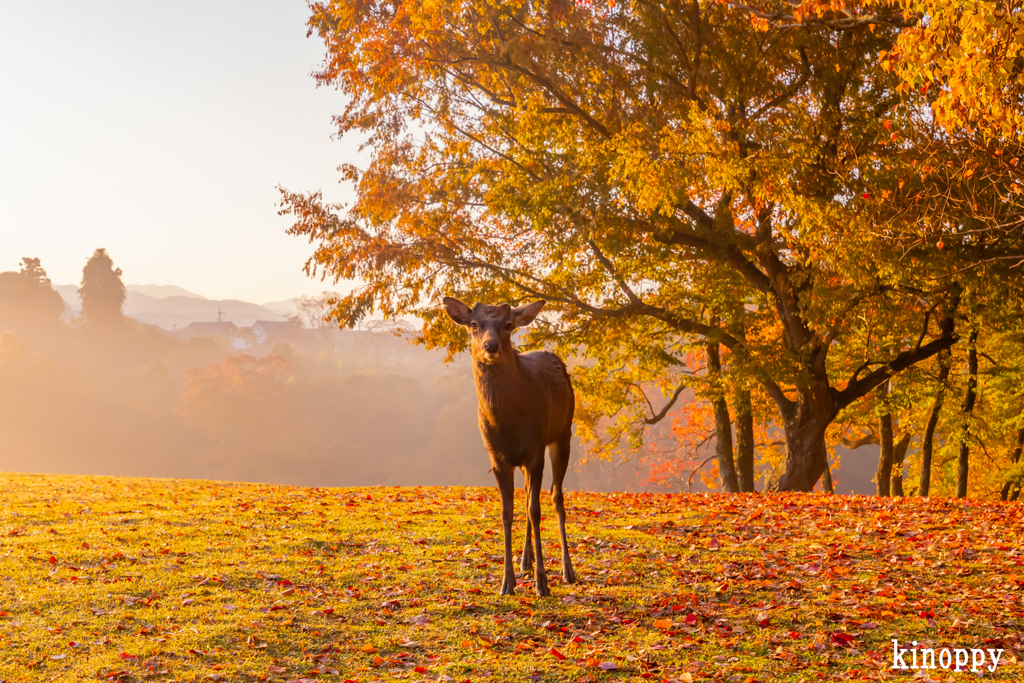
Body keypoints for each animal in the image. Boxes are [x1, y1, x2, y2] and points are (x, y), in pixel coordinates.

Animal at [442, 296, 577, 593]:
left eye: (507, 324)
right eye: (473, 324)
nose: (490, 346)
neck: (509, 423)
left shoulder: (535, 450)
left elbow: (535, 510)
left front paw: (542, 583)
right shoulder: (497, 458)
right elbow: (507, 512)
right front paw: (507, 582)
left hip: (563, 433)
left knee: (556, 496)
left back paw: (567, 570)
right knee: (528, 494)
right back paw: (525, 560)